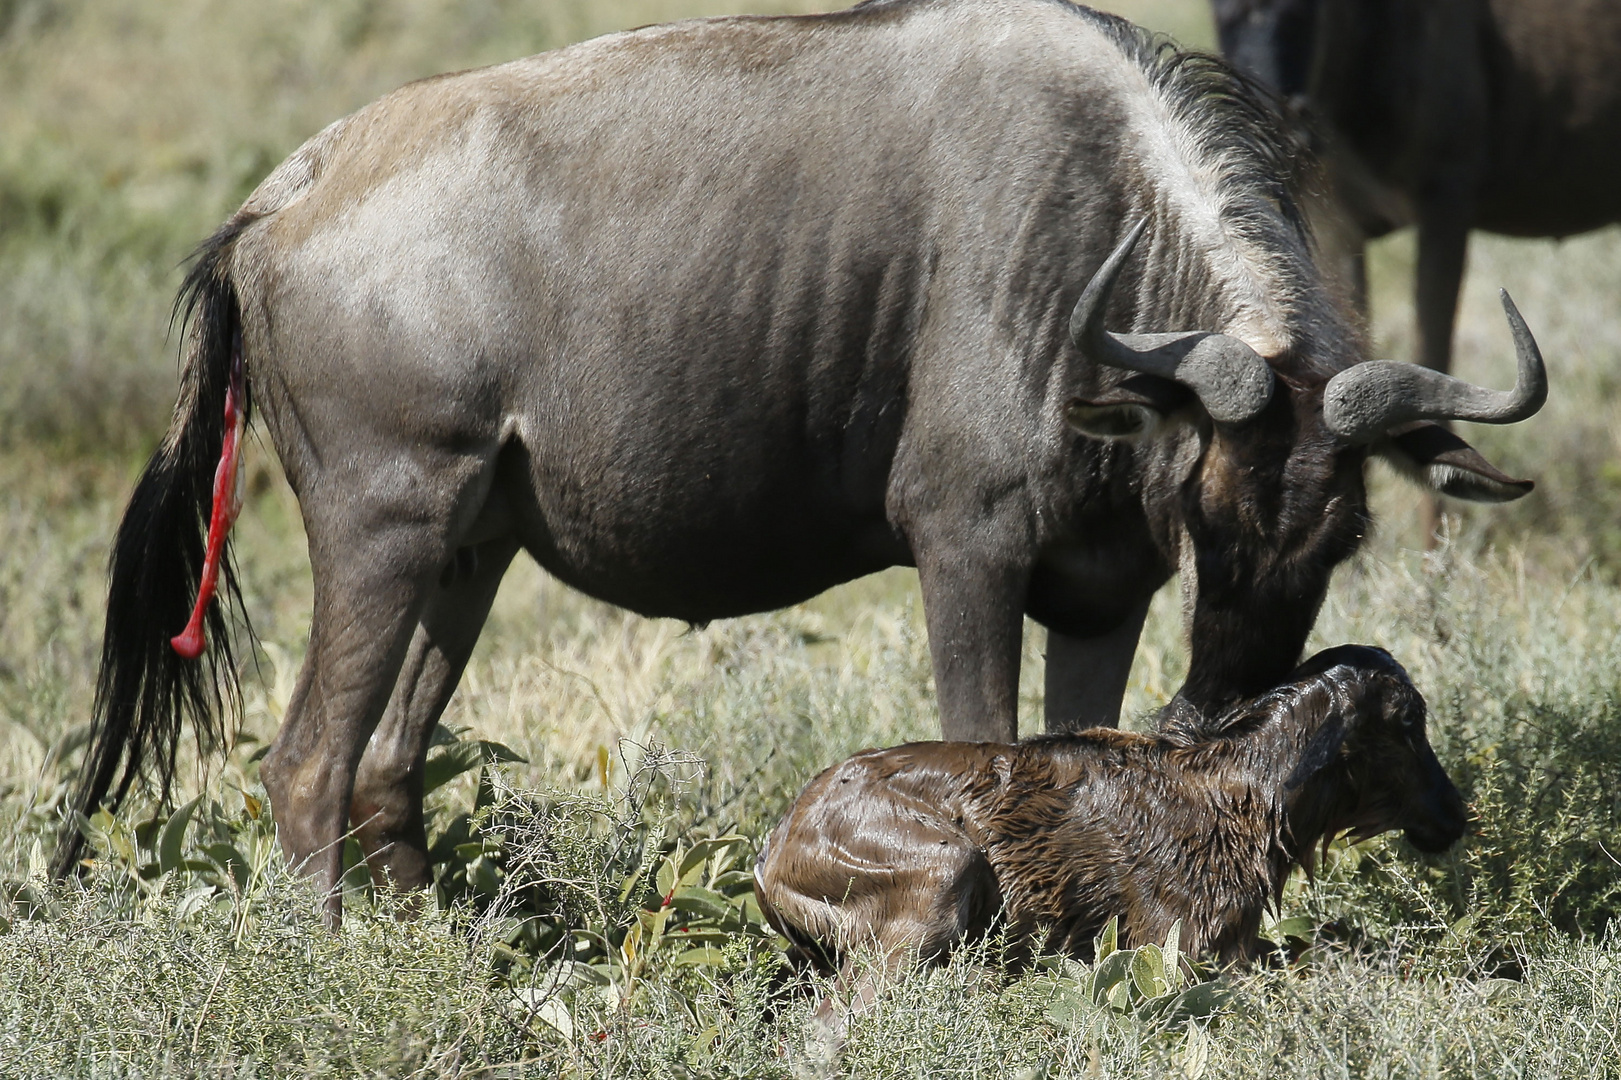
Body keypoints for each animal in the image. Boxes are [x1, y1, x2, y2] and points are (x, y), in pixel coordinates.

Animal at [752, 638, 1465, 966]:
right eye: (1409, 722)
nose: (1456, 813)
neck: (1245, 798)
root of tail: (767, 858)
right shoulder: (1176, 946)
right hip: (934, 883)